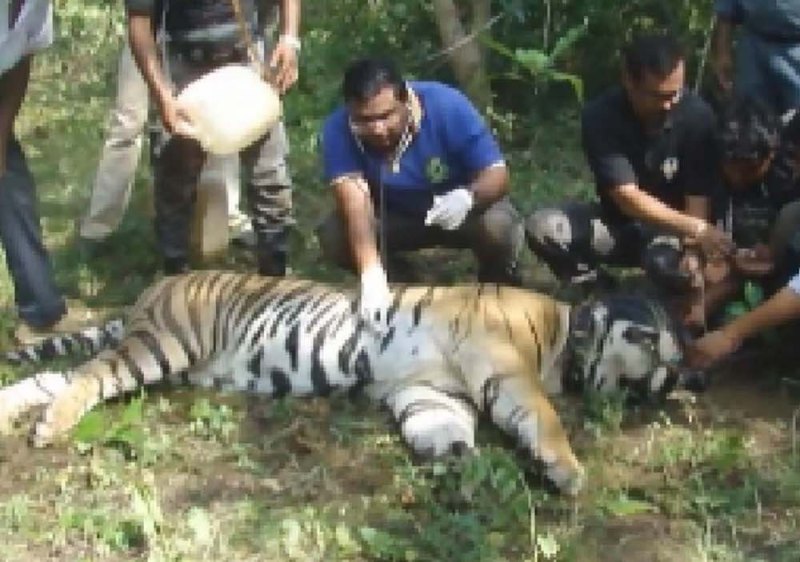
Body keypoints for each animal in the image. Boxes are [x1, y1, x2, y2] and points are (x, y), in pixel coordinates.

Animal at [0, 270, 690, 496]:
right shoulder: (504, 368)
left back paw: (23, 414)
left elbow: (445, 435)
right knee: (89, 376)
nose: (682, 376)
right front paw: (567, 470)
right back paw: (52, 429)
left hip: (148, 347)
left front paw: (458, 473)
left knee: (57, 376)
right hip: (165, 344)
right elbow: (543, 415)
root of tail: (155, 287)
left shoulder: (433, 393)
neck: (564, 335)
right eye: (649, 338)